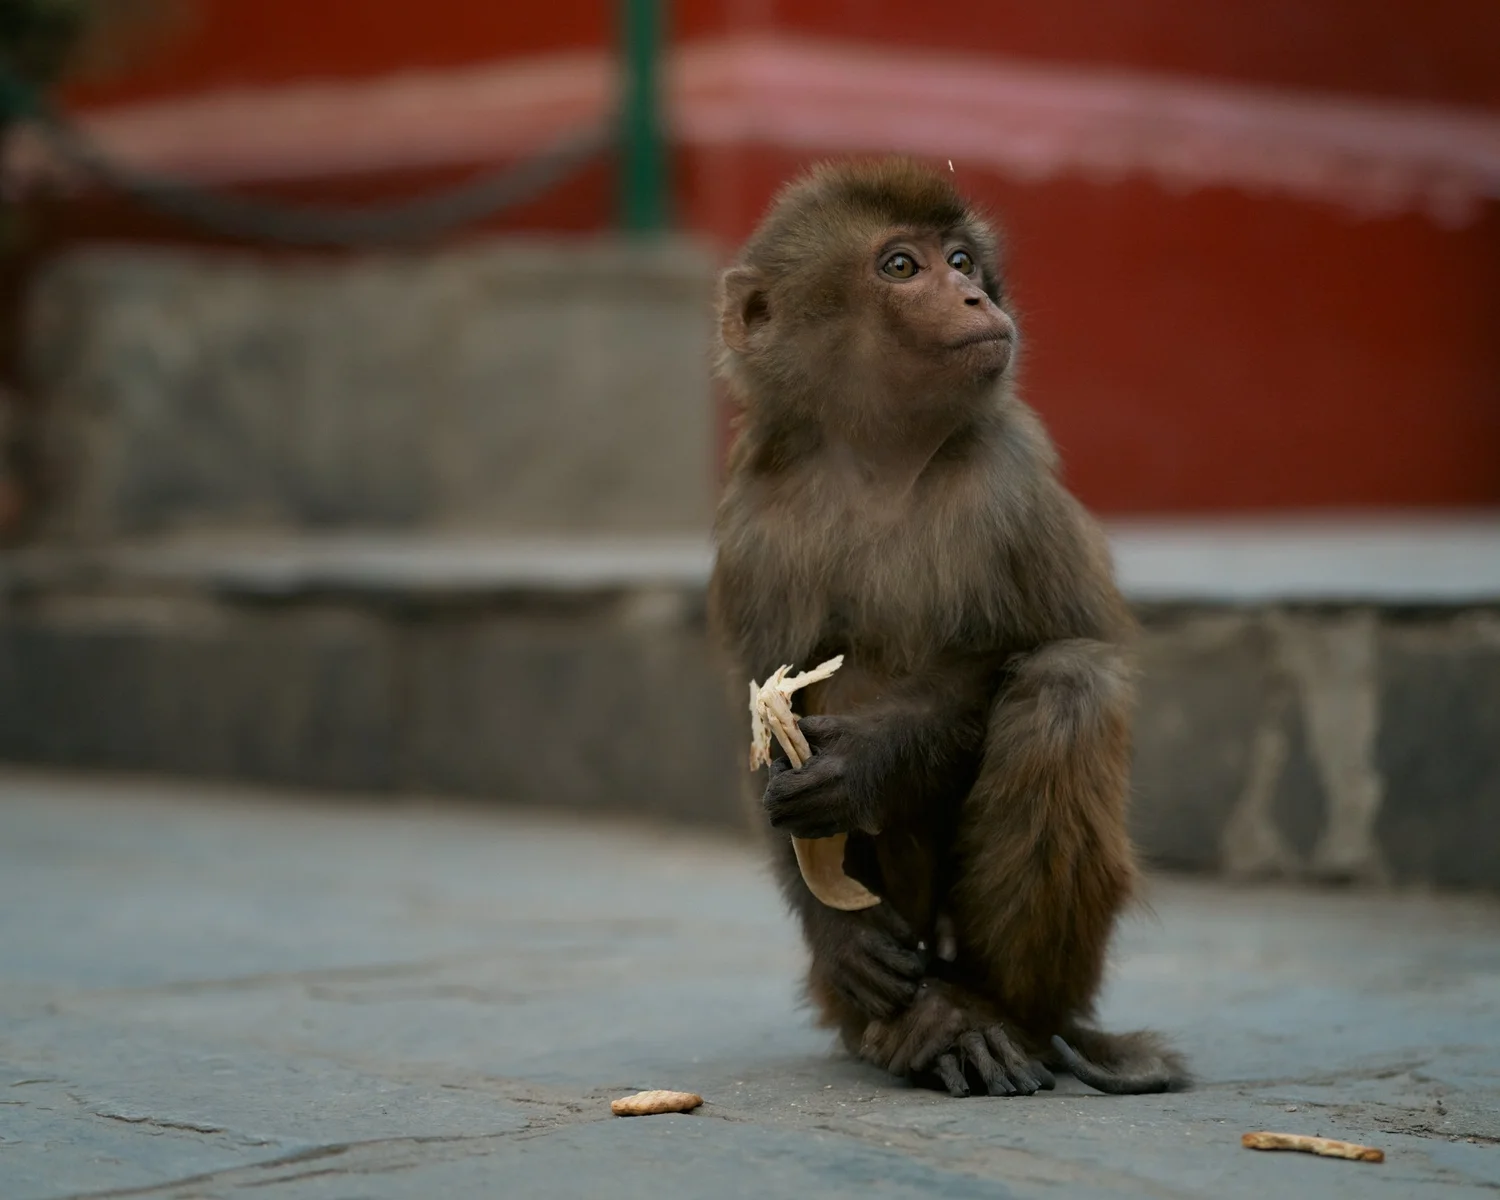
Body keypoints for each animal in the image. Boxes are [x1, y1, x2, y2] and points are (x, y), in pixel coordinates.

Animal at [707, 157, 1188, 1098]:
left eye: (962, 261)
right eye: (903, 267)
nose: (972, 298)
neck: (877, 461)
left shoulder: (1009, 482)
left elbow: (1042, 648)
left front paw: (863, 761)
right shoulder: (756, 526)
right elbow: (768, 717)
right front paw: (839, 931)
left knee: (1068, 686)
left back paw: (996, 1015)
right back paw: (906, 1024)